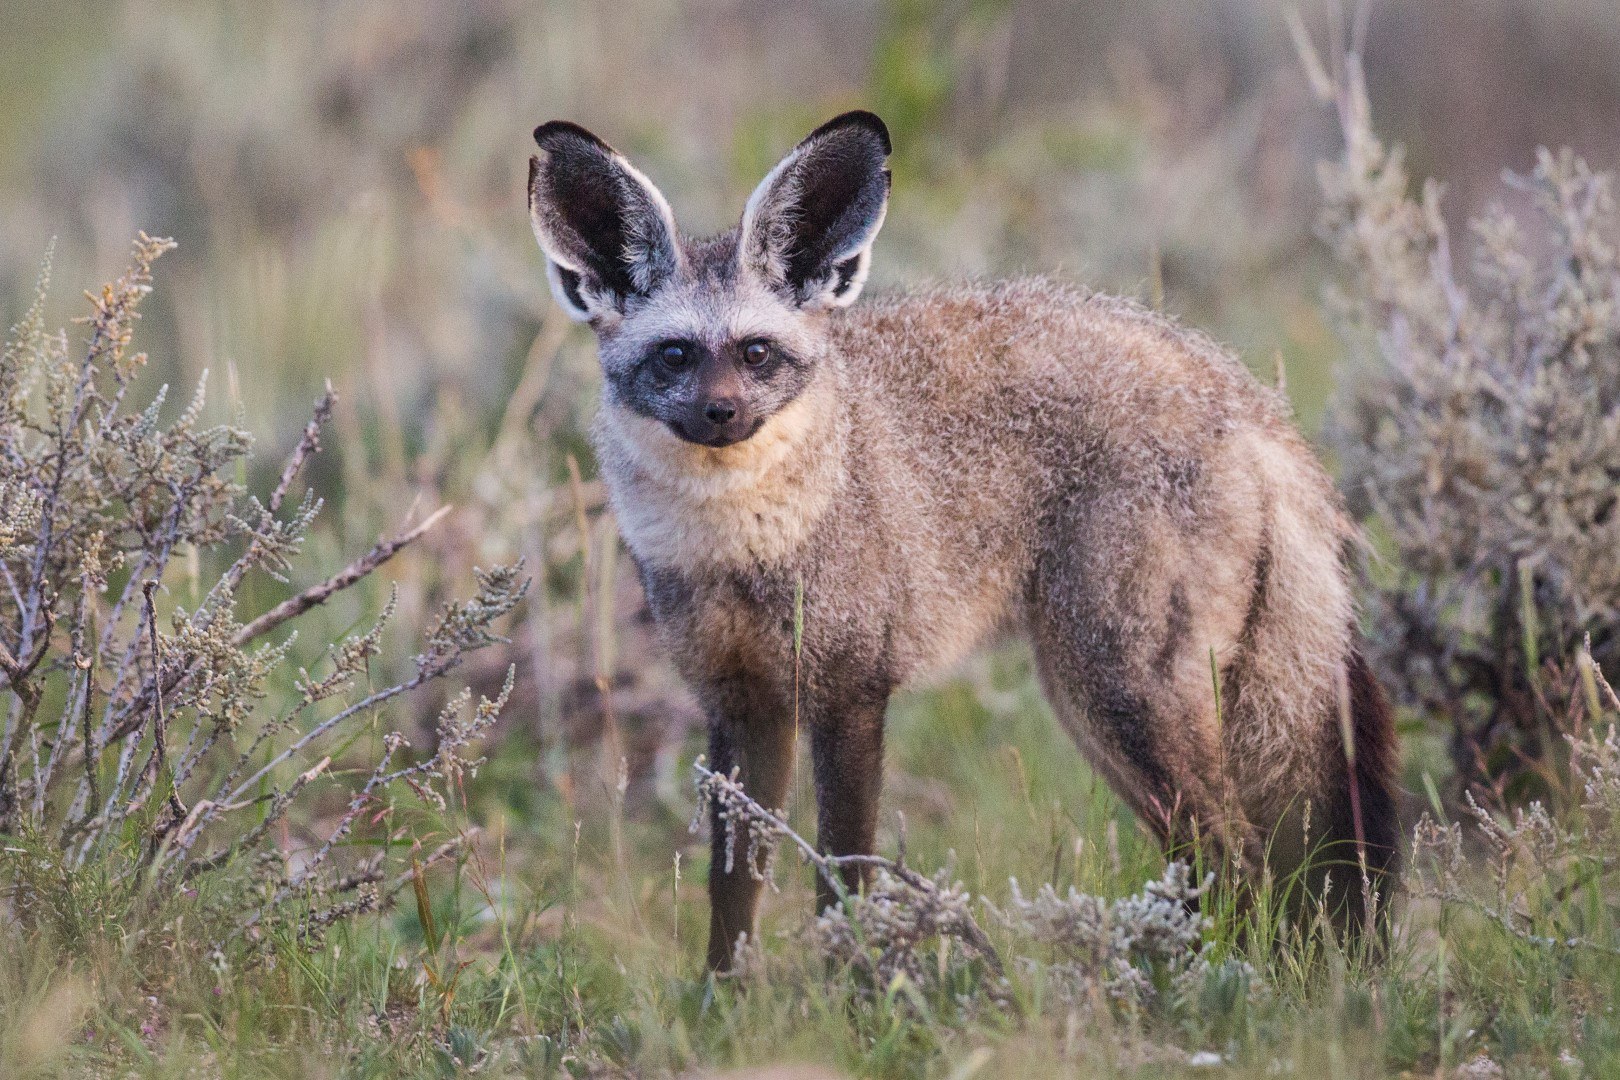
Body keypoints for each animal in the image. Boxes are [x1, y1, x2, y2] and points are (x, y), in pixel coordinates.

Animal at [528, 110, 1393, 971]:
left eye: (756, 353)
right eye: (675, 355)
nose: (721, 414)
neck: (740, 548)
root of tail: (1246, 397)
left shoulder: (850, 691)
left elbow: (844, 878)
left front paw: (852, 990)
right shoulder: (742, 704)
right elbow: (733, 894)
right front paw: (724, 996)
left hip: (1118, 694)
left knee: (1237, 858)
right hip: (1104, 713)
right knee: (1214, 864)